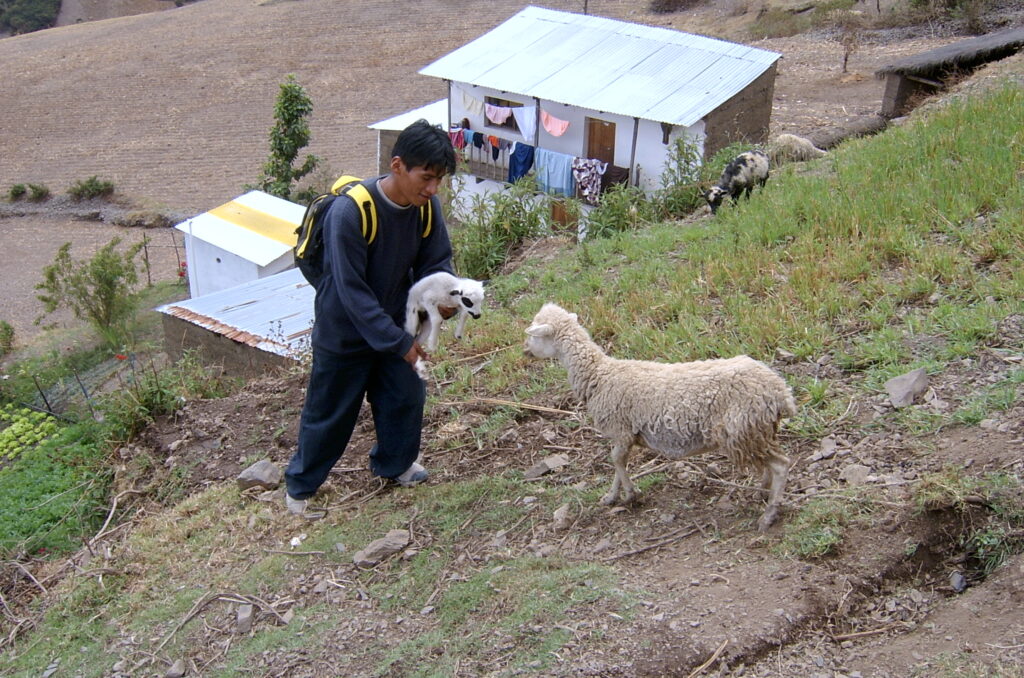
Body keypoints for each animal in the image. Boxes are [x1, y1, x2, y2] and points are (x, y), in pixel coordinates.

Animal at [524, 305, 794, 532]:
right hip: (757, 432)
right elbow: (618, 462)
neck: (599, 374)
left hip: (742, 430)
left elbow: (616, 460)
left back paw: (769, 514)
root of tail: (780, 391)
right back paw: (762, 491)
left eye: (535, 334)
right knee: (768, 462)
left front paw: (630, 495)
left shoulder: (620, 429)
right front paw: (612, 496)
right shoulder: (625, 434)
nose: (525, 351)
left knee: (781, 465)